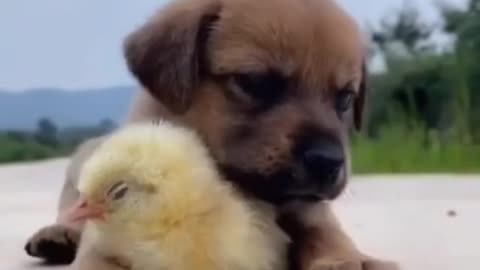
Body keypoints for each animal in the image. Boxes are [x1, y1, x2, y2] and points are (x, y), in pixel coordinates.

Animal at [25, 0, 398, 268]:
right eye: (256, 82)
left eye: (345, 98)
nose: (328, 161)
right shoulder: (101, 245)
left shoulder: (309, 211)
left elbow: (328, 235)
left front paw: (350, 259)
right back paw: (57, 234)